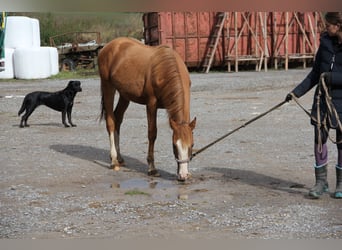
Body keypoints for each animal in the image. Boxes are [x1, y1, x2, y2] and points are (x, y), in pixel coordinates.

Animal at [97, 37, 196, 181]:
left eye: (192, 145)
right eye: (174, 145)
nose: (183, 175)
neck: (164, 69)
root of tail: (108, 47)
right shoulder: (151, 104)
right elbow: (152, 134)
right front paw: (152, 168)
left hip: (124, 94)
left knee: (118, 119)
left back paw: (120, 158)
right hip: (108, 87)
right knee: (110, 122)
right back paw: (114, 160)